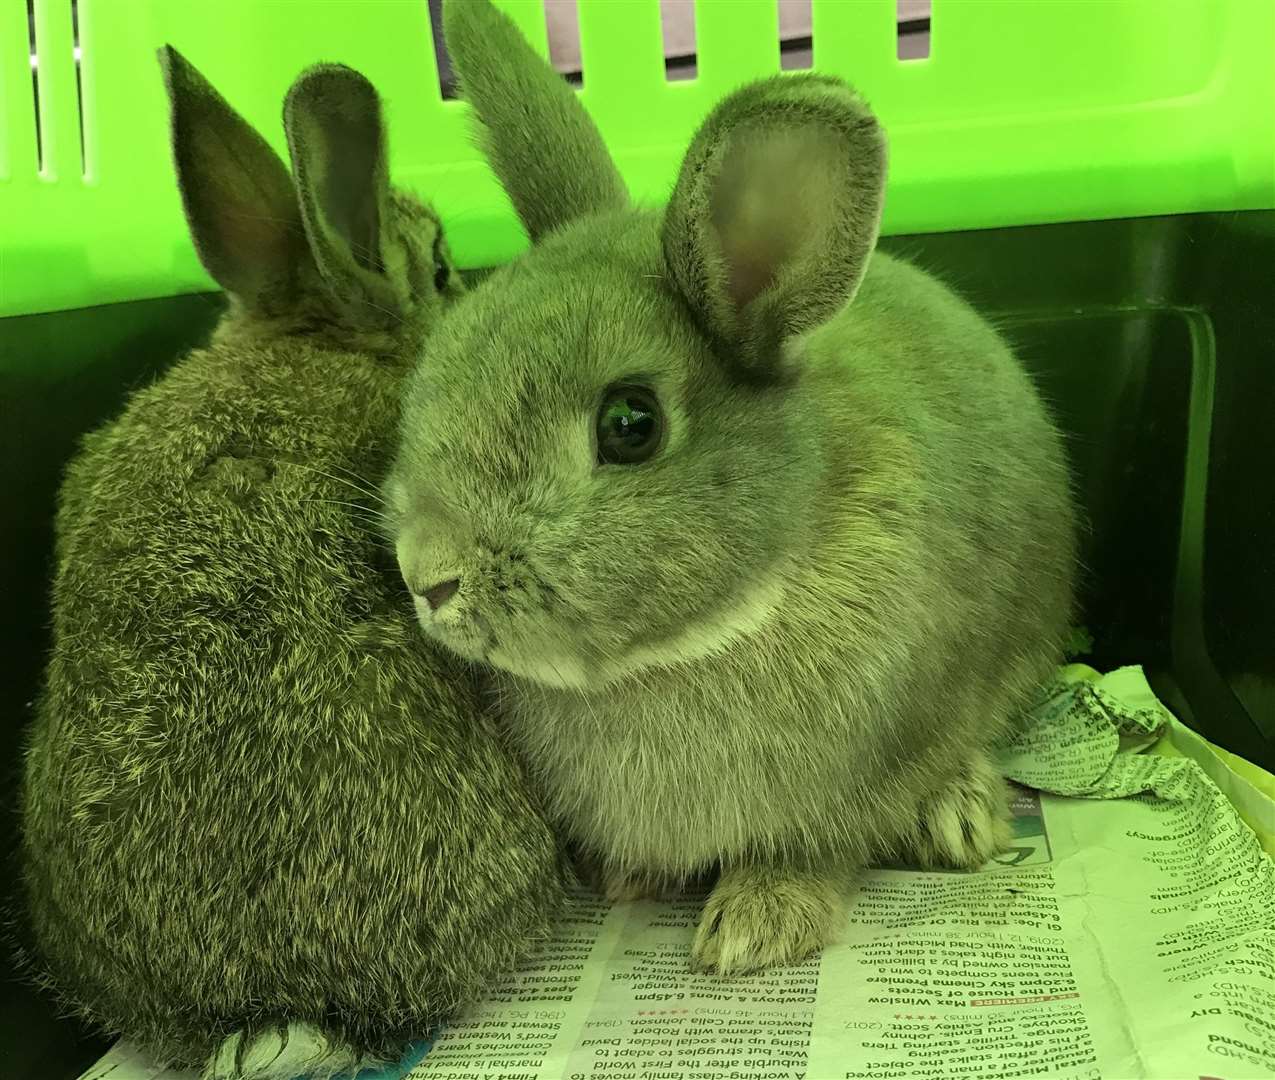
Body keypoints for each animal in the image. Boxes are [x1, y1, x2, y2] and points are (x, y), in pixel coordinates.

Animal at [385, 0, 1076, 979]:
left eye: (629, 424)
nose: (426, 577)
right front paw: (630, 879)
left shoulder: (856, 780)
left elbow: (814, 849)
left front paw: (756, 929)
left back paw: (959, 816)